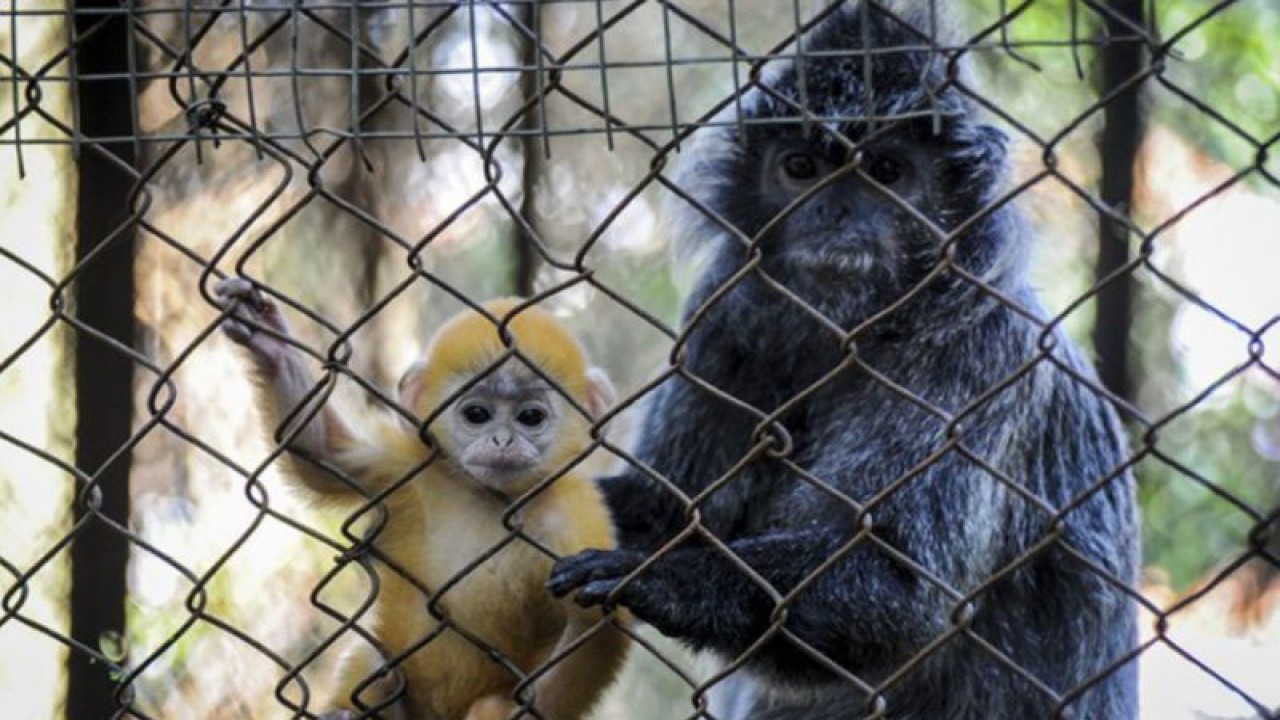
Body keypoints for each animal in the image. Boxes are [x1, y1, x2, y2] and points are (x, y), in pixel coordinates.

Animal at [215, 279, 629, 720]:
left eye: (530, 417)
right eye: (477, 414)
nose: (502, 441)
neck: (491, 499)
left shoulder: (574, 515)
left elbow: (598, 627)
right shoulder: (409, 464)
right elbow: (323, 456)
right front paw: (268, 339)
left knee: (490, 704)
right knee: (377, 667)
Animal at [548, 3, 1139, 719]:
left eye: (885, 171)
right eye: (800, 166)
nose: (833, 210)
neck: (855, 327)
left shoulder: (980, 351)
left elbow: (901, 590)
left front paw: (667, 576)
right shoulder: (726, 315)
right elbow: (664, 507)